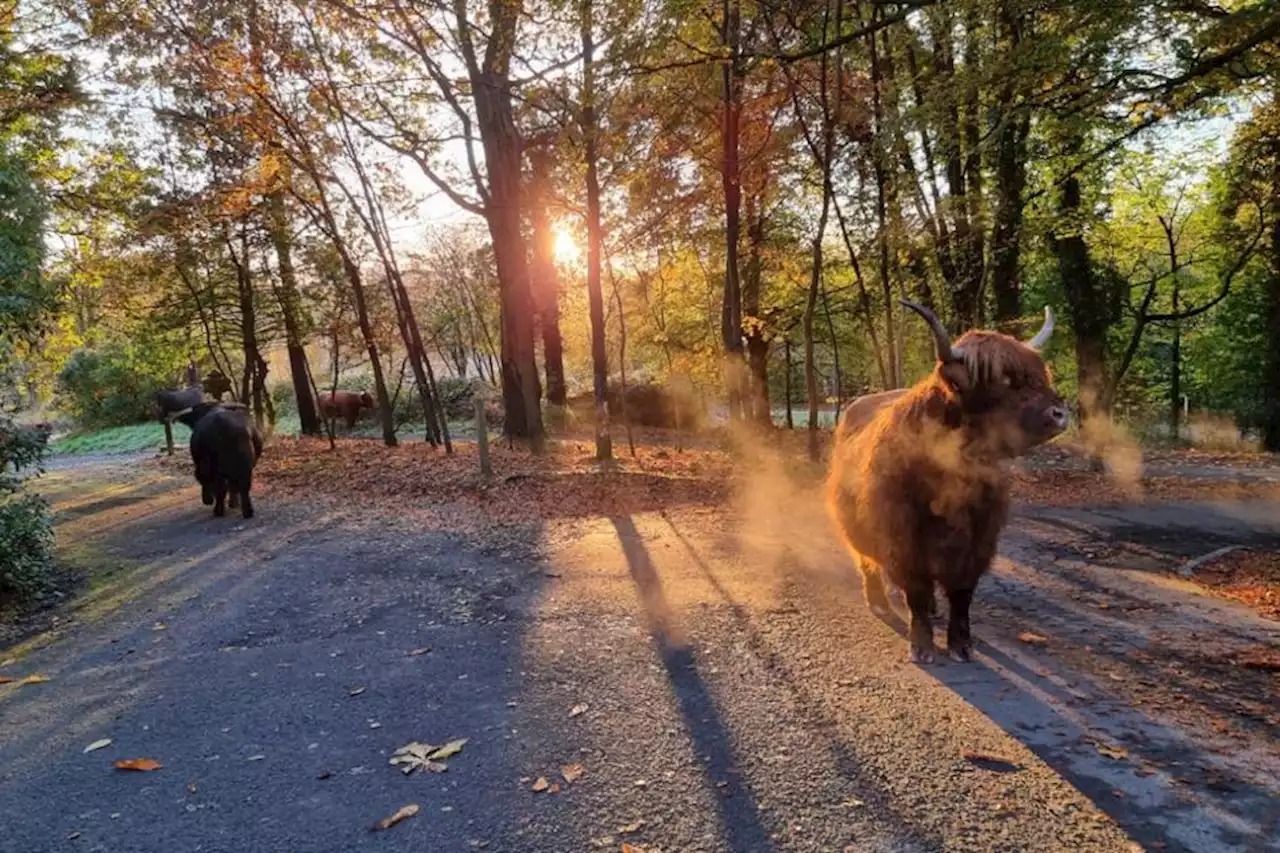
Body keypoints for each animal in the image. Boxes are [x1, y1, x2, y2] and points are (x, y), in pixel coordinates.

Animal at [824, 300, 1064, 666]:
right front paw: (922, 646)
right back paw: (878, 601)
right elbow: (916, 592)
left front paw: (961, 645)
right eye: (1004, 380)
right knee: (867, 563)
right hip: (853, 527)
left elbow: (962, 595)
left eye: (1039, 374)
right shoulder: (904, 541)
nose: (1060, 413)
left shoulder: (980, 542)